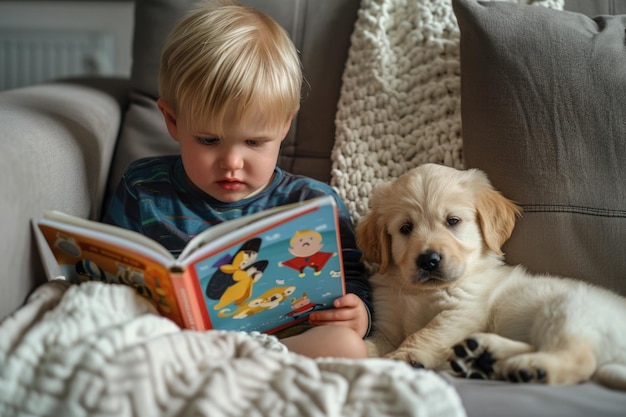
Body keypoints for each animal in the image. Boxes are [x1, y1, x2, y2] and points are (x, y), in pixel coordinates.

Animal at [356, 163, 624, 390]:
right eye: (405, 228)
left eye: (452, 221)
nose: (428, 260)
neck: (423, 291)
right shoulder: (388, 323)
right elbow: (372, 342)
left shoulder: (463, 310)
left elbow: (426, 332)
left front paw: (402, 356)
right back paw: (483, 355)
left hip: (569, 311)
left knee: (579, 359)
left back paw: (529, 367)